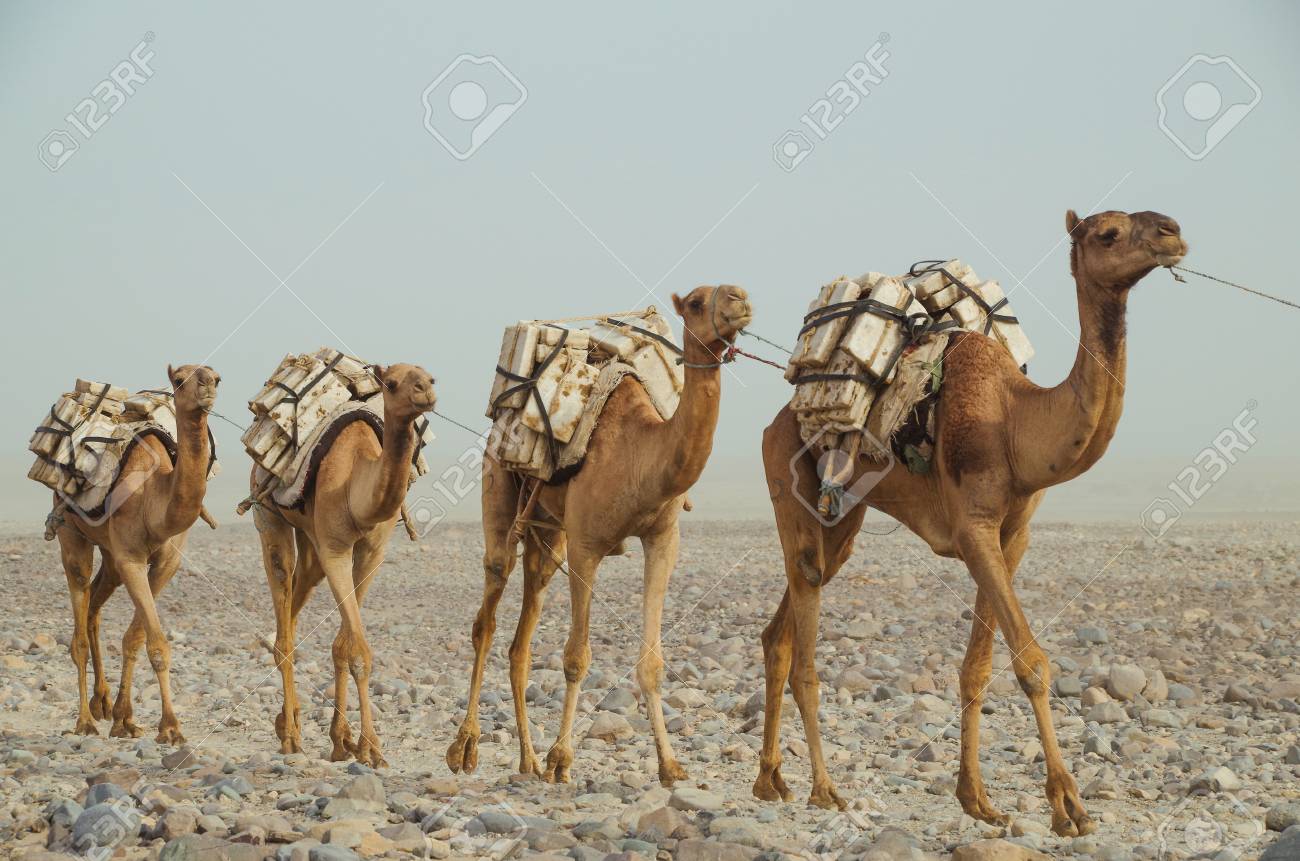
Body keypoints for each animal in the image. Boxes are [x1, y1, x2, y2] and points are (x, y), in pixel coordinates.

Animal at [57, 364, 220, 743]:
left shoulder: (167, 561)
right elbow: (157, 643)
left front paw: (125, 719)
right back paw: (85, 720)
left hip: (109, 554)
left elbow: (135, 638)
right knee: (79, 623)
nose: (207, 386)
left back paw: (103, 704)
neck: (154, 494)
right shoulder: (131, 558)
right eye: (180, 380)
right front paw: (171, 727)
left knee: (93, 609)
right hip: (71, 532)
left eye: (217, 377)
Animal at [254, 363, 434, 767]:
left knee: (294, 610)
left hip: (311, 541)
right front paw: (370, 748)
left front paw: (344, 741)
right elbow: (359, 651)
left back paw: (287, 721)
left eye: (431, 377)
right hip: (269, 516)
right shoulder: (335, 550)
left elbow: (344, 646)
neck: (356, 481)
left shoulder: (371, 552)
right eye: (391, 383)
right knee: (283, 611)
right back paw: (290, 736)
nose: (425, 393)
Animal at [446, 285, 754, 785]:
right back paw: (465, 748)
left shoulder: (662, 539)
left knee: (521, 638)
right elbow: (576, 658)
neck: (641, 454)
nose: (739, 298)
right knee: (487, 613)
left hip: (548, 536)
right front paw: (561, 759)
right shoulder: (587, 546)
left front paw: (670, 765)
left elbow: (652, 662)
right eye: (694, 301)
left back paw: (527, 760)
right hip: (500, 490)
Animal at [754, 209, 1187, 837]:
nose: (1171, 231)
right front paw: (1068, 805)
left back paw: (770, 780)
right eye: (1107, 233)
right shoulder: (972, 528)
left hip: (845, 517)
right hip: (790, 474)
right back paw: (822, 789)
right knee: (806, 624)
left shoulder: (1011, 537)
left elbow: (977, 668)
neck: (1015, 422)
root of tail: (777, 418)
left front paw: (977, 799)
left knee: (781, 627)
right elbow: (1032, 662)